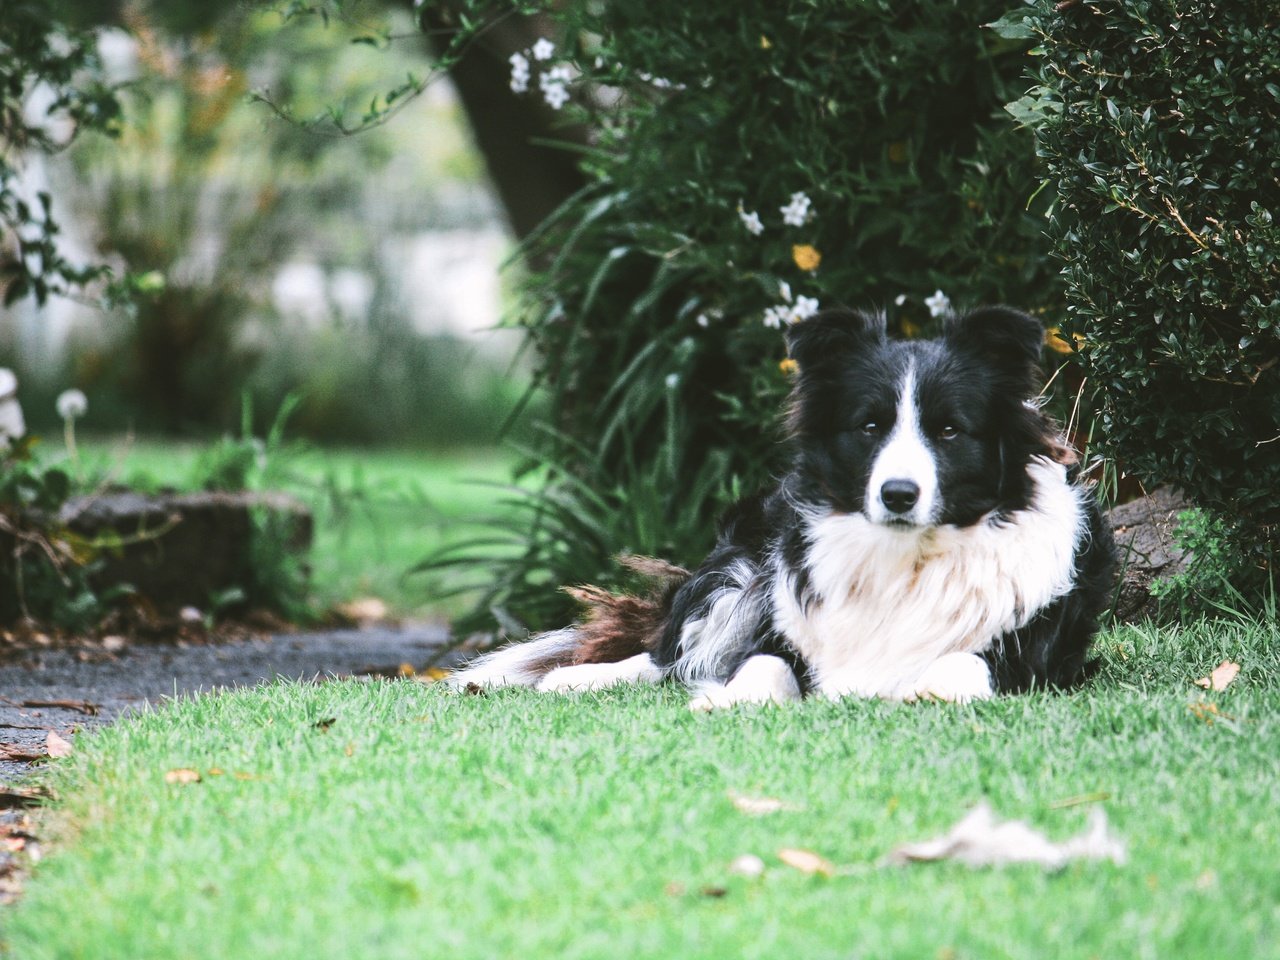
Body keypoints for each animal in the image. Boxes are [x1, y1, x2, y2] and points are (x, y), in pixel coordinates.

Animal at [450, 308, 1111, 706]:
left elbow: (964, 666)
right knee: (670, 655)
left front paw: (929, 691)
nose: (898, 495)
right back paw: (576, 676)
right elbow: (761, 662)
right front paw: (730, 700)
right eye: (870, 426)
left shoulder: (1038, 658)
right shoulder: (782, 623)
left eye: (949, 430)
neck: (904, 557)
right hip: (742, 569)